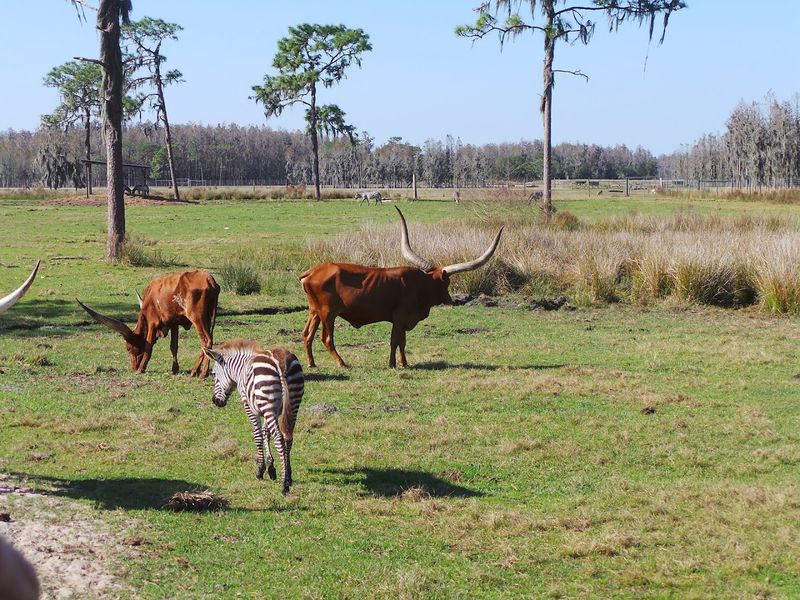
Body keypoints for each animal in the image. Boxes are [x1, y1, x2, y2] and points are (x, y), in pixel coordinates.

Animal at [77, 270, 220, 378]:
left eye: (129, 348)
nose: (133, 368)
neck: (150, 297)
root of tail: (209, 279)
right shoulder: (173, 323)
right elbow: (174, 346)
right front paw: (174, 369)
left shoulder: (152, 322)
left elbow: (148, 345)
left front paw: (141, 368)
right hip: (208, 319)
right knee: (210, 341)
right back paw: (201, 371)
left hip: (197, 318)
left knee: (206, 341)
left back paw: (200, 372)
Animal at [204, 340, 304, 495]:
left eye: (213, 374)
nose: (215, 401)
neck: (240, 369)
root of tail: (280, 361)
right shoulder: (273, 411)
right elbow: (266, 433)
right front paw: (271, 467)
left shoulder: (250, 406)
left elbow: (258, 435)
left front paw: (261, 470)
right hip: (292, 403)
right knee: (288, 437)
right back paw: (288, 476)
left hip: (268, 401)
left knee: (280, 439)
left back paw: (284, 485)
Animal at [299, 207, 503, 369]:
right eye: (446, 283)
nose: (449, 299)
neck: (420, 286)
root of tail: (312, 271)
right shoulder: (399, 318)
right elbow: (394, 341)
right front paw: (392, 364)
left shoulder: (403, 320)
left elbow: (402, 343)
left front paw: (404, 363)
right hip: (328, 314)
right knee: (326, 339)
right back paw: (342, 363)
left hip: (315, 312)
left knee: (307, 335)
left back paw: (312, 363)